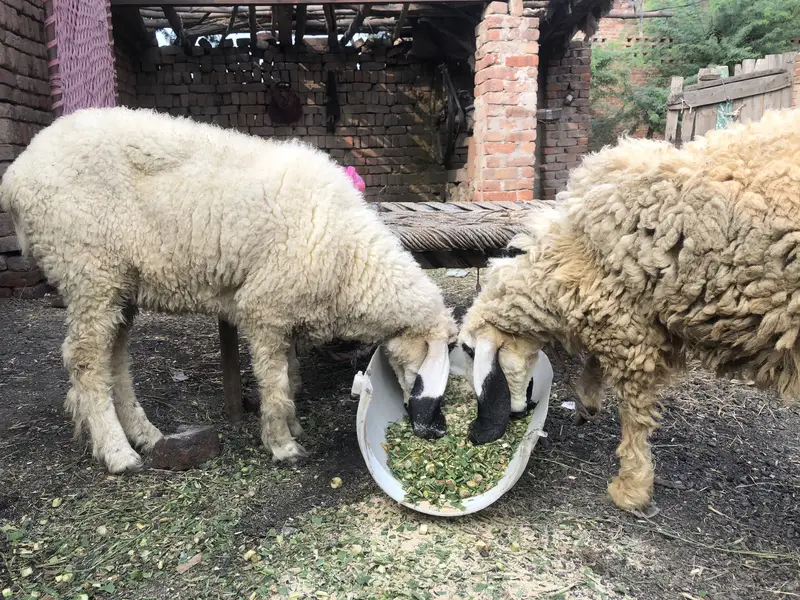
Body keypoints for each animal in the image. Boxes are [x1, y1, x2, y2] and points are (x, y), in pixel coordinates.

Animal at [1, 106, 457, 474]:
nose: (436, 430)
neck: (350, 260)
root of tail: (18, 172)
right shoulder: (265, 306)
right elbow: (275, 383)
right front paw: (282, 444)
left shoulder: (285, 308)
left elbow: (289, 374)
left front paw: (292, 426)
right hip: (88, 270)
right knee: (87, 363)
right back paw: (117, 452)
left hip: (118, 284)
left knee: (115, 360)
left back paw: (145, 435)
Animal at [454, 107, 800, 513]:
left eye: (470, 353)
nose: (513, 415)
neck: (572, 253)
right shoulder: (617, 312)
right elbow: (595, 362)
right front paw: (587, 401)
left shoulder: (631, 332)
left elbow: (633, 412)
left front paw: (631, 486)